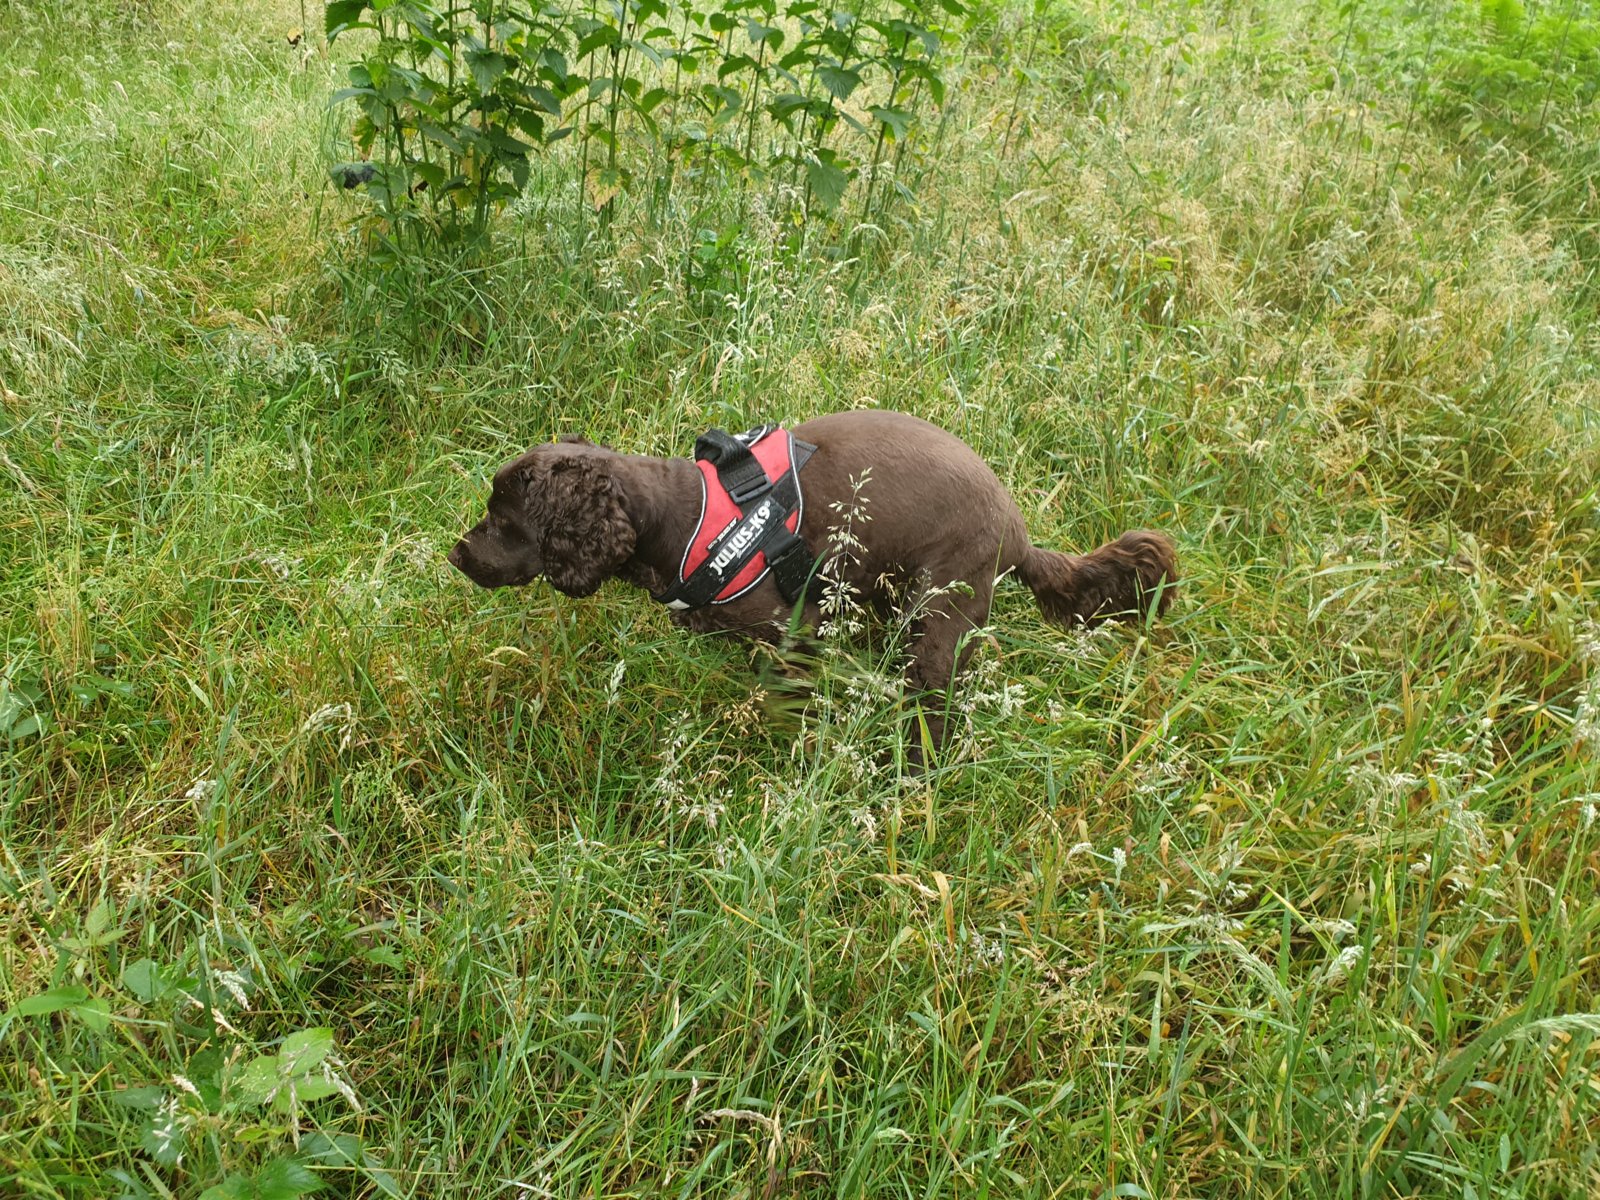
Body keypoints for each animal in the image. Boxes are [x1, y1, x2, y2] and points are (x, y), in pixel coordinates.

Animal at [449, 410, 1177, 752]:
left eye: (502, 520)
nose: (456, 555)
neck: (678, 515)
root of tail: (1019, 535)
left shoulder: (794, 634)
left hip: (940, 611)